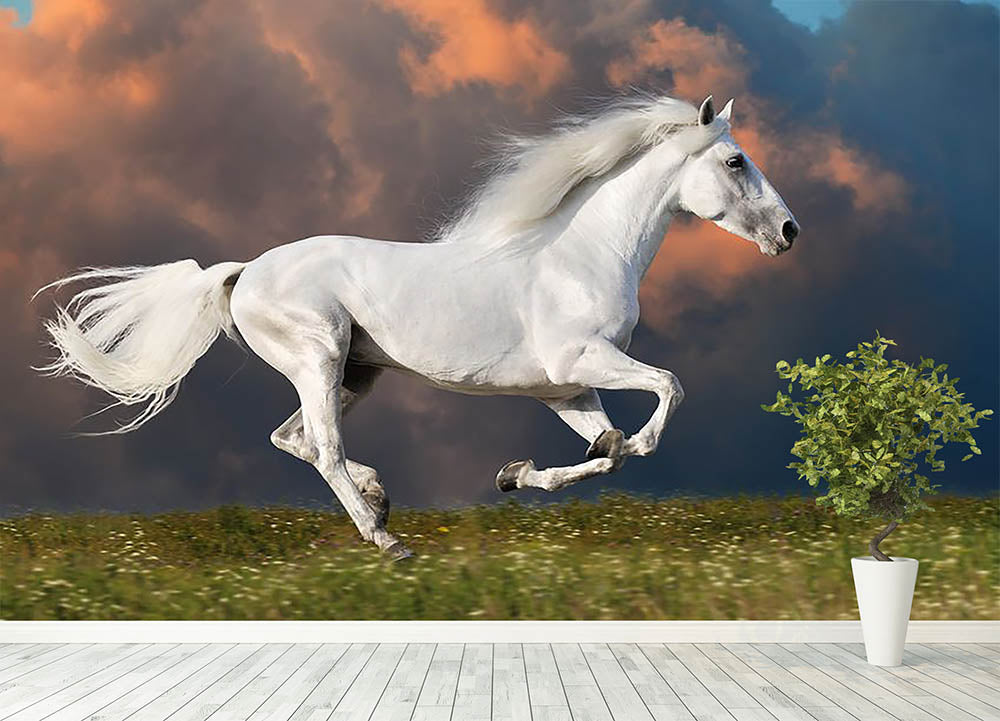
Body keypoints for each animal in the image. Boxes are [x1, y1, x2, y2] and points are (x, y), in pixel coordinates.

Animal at [36, 94, 799, 559]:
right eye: (735, 160)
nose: (790, 232)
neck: (582, 252)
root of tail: (245, 271)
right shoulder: (582, 360)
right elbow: (666, 390)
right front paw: (622, 441)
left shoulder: (563, 388)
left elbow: (604, 453)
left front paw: (516, 475)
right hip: (319, 358)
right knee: (324, 448)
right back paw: (387, 540)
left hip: (354, 374)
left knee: (295, 438)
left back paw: (380, 499)